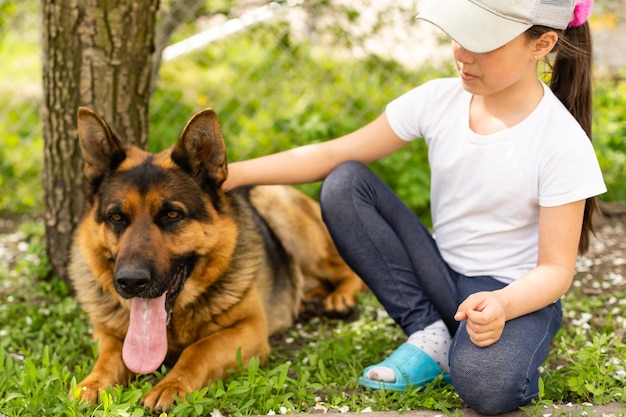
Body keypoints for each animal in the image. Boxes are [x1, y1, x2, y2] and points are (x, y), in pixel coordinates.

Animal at [69, 106, 364, 410]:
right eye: (116, 217)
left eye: (172, 214)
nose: (130, 282)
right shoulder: (107, 334)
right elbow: (108, 358)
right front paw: (93, 384)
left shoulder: (249, 329)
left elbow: (200, 349)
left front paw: (171, 385)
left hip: (278, 207)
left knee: (345, 271)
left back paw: (339, 298)